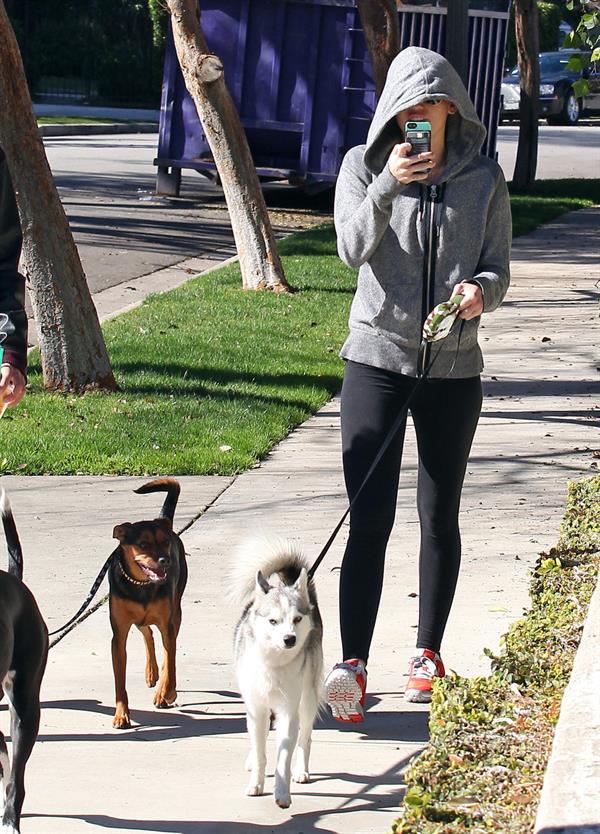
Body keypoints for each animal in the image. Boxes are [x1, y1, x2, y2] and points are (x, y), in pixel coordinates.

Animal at [109, 474, 186, 728]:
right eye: (143, 544)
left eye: (165, 543)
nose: (165, 560)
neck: (141, 585)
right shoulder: (118, 635)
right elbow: (119, 683)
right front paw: (121, 714)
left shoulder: (167, 623)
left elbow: (170, 661)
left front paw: (167, 692)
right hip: (138, 621)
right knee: (148, 633)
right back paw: (151, 672)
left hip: (176, 612)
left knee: (167, 648)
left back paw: (162, 687)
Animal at [231, 540, 324, 808]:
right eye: (273, 621)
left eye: (297, 619)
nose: (289, 639)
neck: (272, 662)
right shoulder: (256, 708)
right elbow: (261, 750)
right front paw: (256, 782)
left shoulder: (289, 711)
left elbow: (284, 755)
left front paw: (282, 793)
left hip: (308, 698)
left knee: (305, 738)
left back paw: (301, 770)